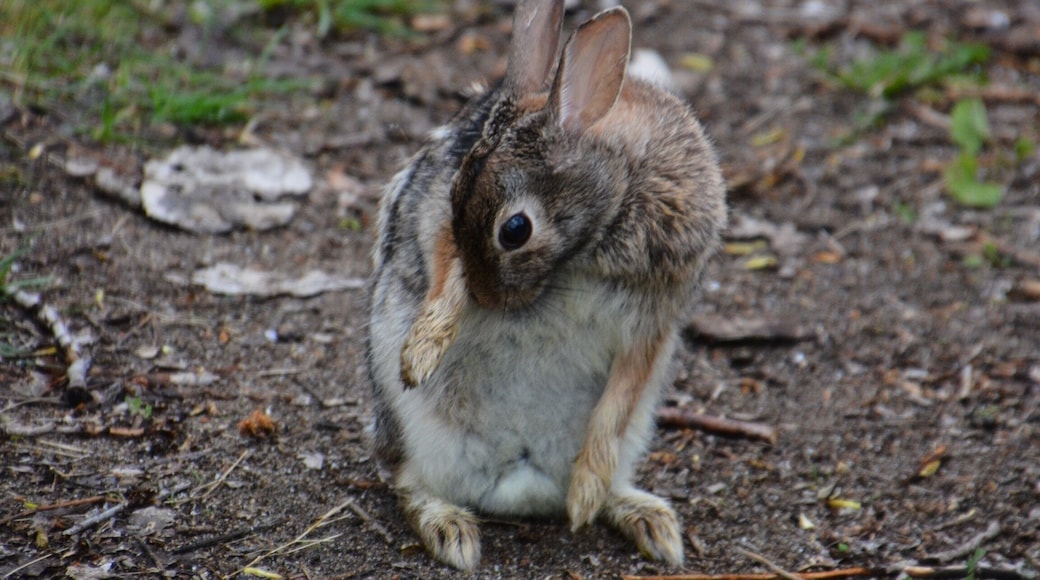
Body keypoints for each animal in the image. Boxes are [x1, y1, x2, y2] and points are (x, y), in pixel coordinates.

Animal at [366, 0, 727, 571]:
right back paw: (450, 531)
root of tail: (518, 484)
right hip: (404, 420)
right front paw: (423, 351)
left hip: (637, 428)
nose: (488, 300)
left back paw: (633, 515)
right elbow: (444, 261)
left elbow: (619, 399)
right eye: (456, 192)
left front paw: (587, 491)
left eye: (516, 230)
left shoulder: (654, 324)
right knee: (405, 481)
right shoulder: (437, 214)